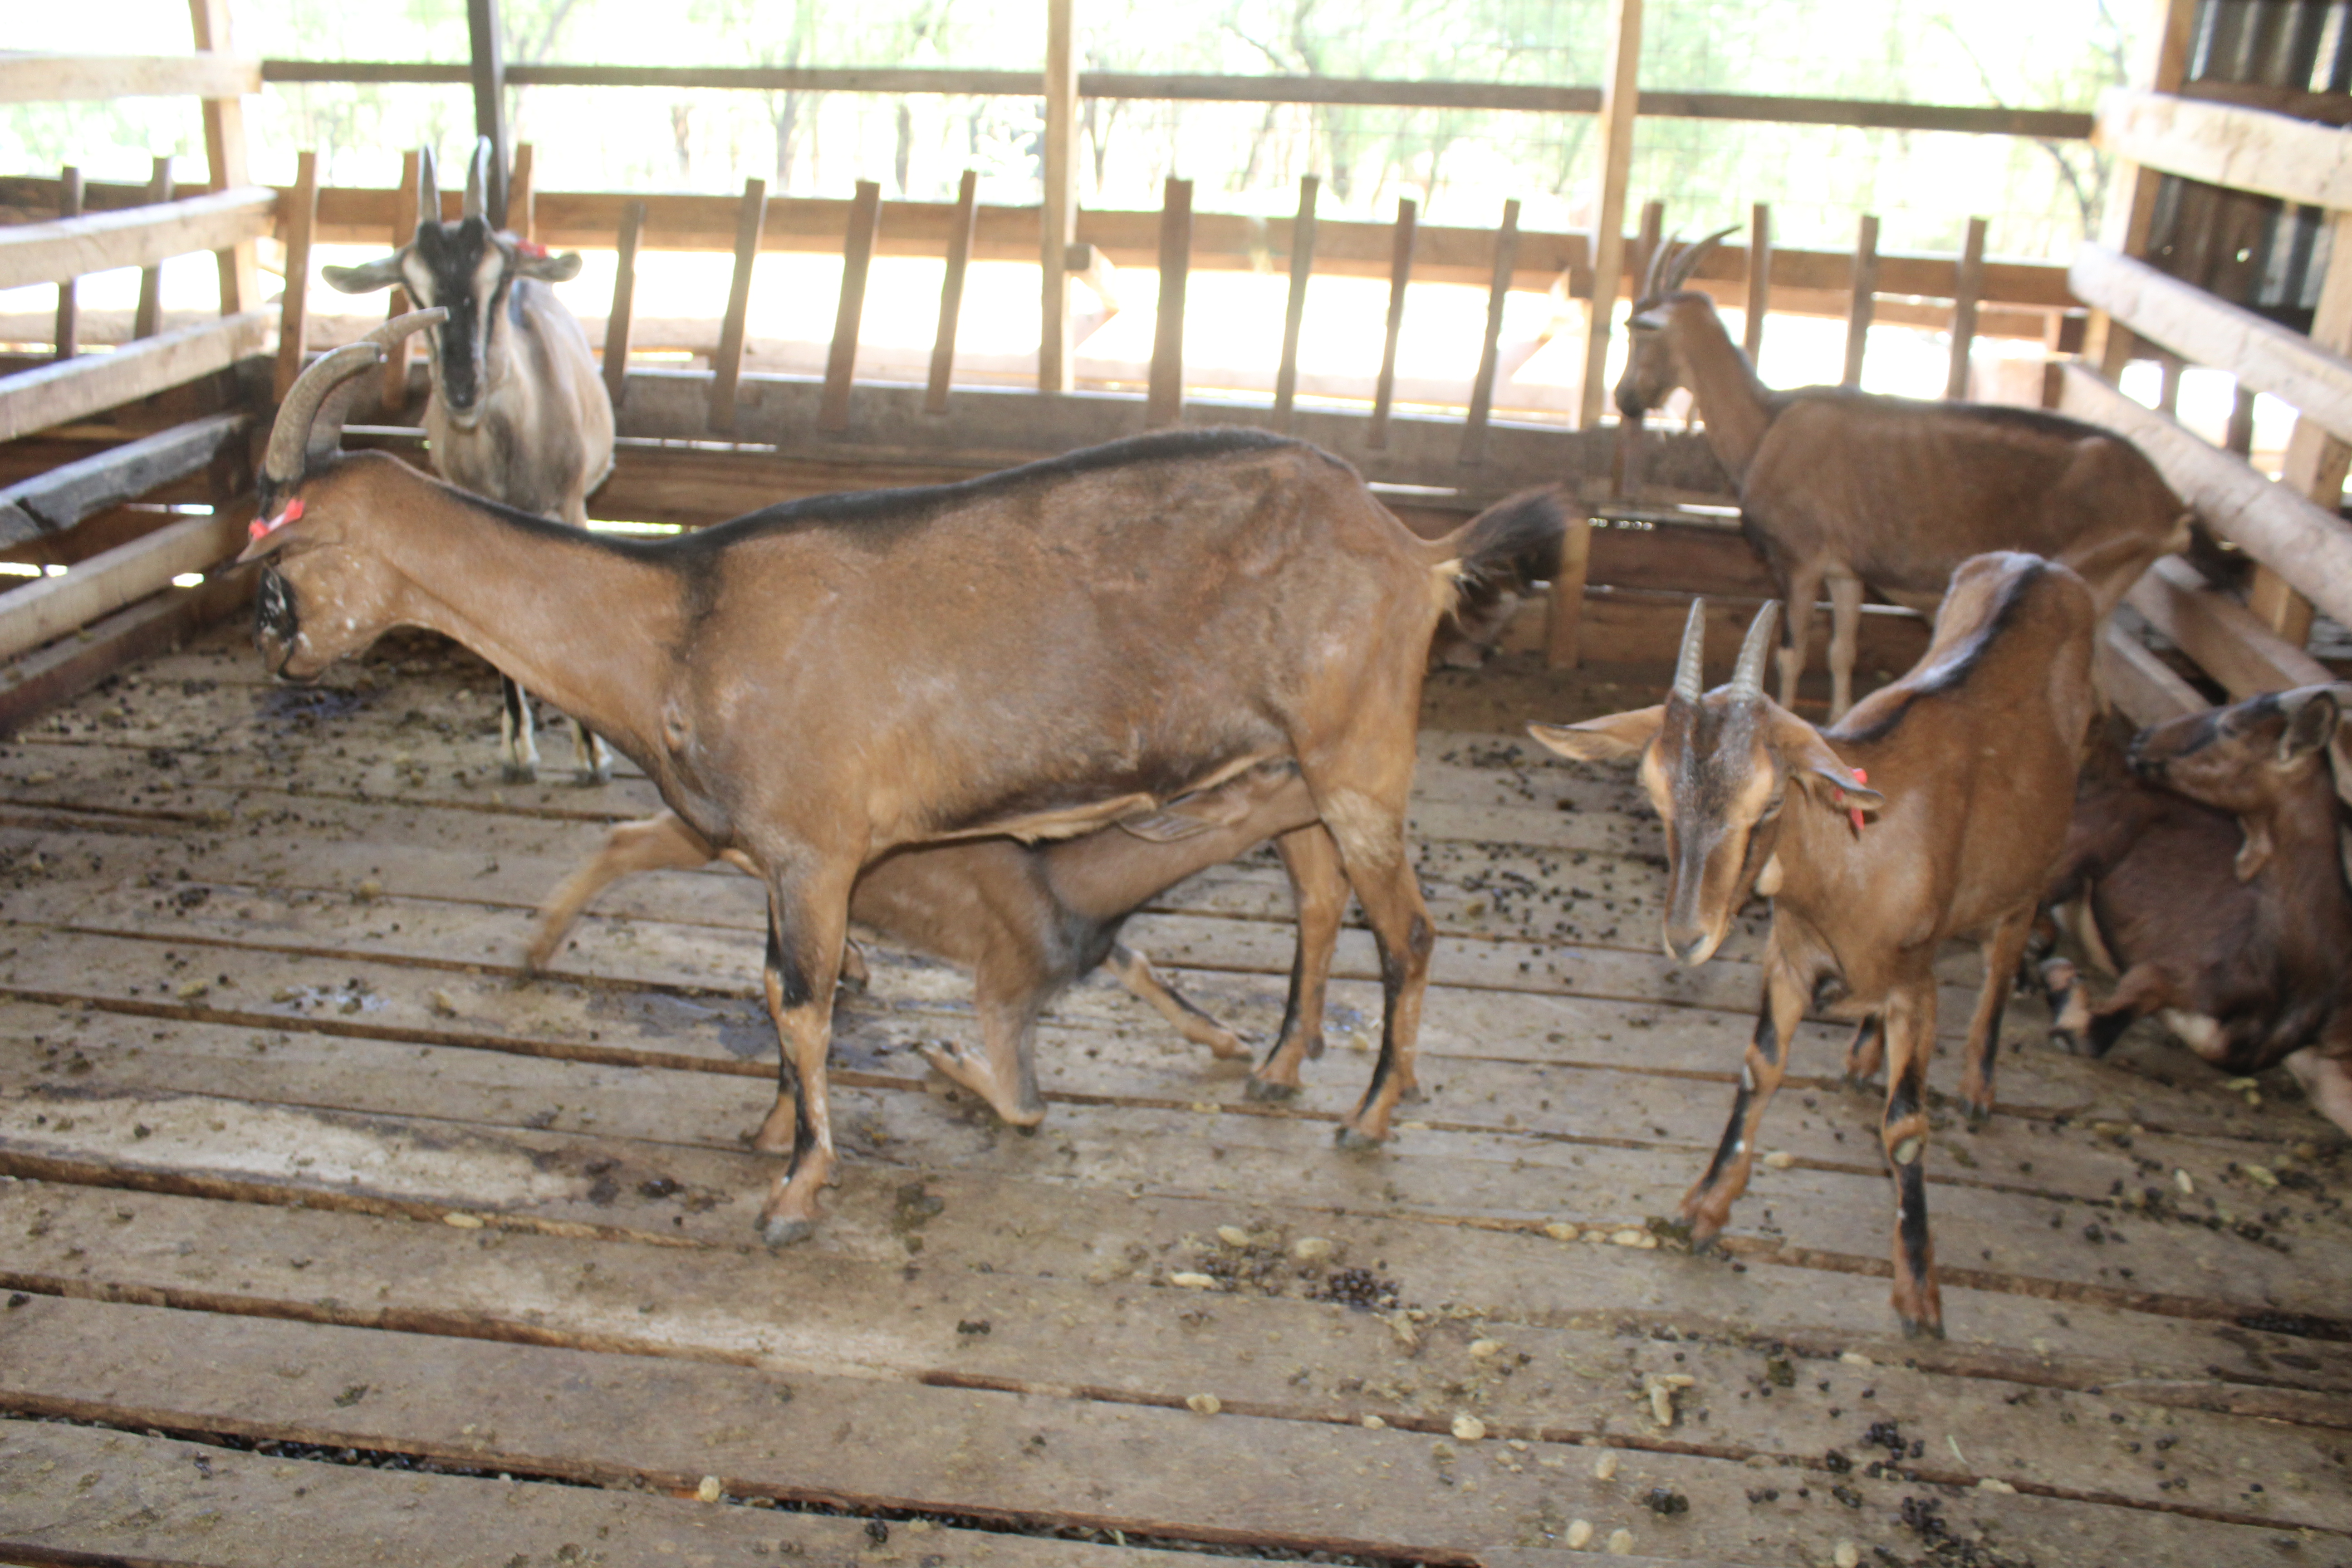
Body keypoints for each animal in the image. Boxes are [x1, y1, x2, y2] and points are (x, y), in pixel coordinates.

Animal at [241, 315, 1567, 1244]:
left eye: (288, 538)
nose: (270, 638)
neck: (674, 620)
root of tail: (1413, 549)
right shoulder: (777, 854)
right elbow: (777, 988)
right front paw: (770, 1126)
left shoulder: (815, 846)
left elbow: (801, 1003)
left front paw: (796, 1188)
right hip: (1286, 753)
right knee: (1317, 893)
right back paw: (1283, 1066)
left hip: (1357, 750)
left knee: (1409, 927)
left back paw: (1369, 1113)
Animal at [323, 139, 618, 785]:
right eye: (413, 290)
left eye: (498, 280)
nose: (463, 386)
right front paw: (518, 746)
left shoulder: (570, 505)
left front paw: (591, 752)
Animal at [1529, 553, 2097, 1336]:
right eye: (1653, 795)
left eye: (1770, 801)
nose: (1686, 937)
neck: (1853, 858)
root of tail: (2041, 565)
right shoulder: (1789, 961)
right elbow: (1759, 1069)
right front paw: (1704, 1209)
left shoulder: (1917, 985)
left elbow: (1906, 1126)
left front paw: (1919, 1295)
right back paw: (1862, 1056)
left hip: (2030, 866)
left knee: (2006, 950)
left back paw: (1979, 1084)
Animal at [1616, 229, 2189, 720]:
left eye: (1640, 334)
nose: (1624, 400)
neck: (1768, 424)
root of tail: (2168, 509)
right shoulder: (1846, 569)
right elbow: (1843, 649)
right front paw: (1839, 720)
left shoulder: (1799, 559)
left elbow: (1790, 655)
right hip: (2107, 591)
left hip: (2083, 572)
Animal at [2039, 686, 2352, 1136]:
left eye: (2231, 728)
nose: (2142, 739)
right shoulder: (2167, 972)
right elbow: (2093, 1031)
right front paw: (2062, 981)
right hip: (2088, 839)